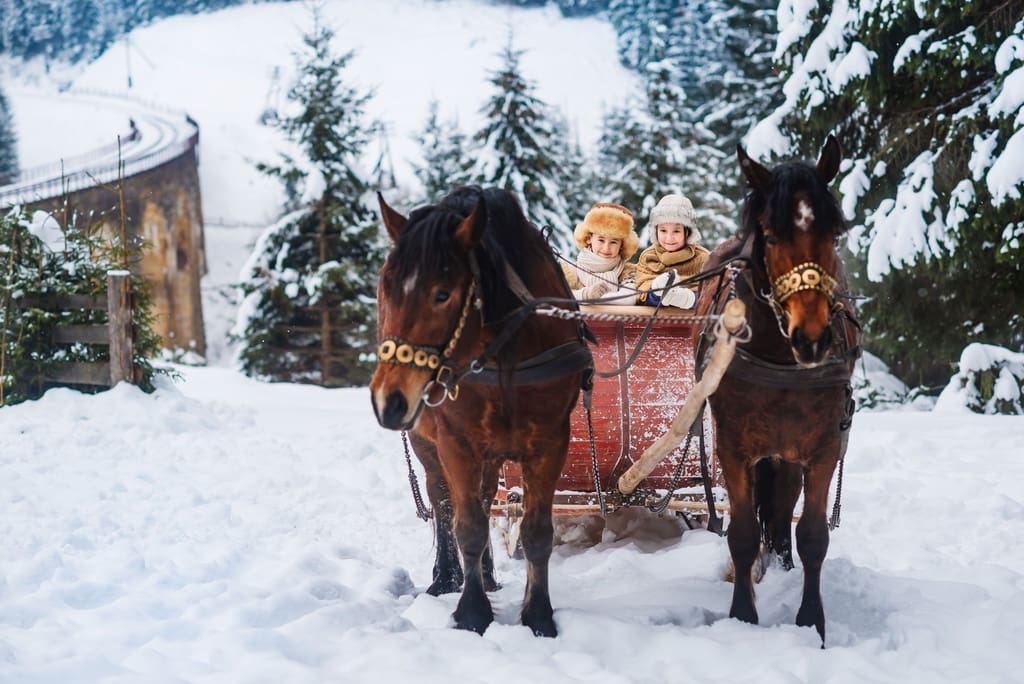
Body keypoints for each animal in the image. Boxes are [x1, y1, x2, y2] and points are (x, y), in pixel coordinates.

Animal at [372, 185, 589, 634]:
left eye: (442, 294)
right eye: (385, 287)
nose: (389, 399)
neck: (502, 355)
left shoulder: (550, 441)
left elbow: (536, 532)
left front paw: (538, 614)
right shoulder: (456, 443)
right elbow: (466, 524)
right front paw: (472, 612)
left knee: (485, 498)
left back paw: (486, 575)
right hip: (426, 442)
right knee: (442, 500)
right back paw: (446, 577)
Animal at [700, 135, 860, 647]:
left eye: (834, 234)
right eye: (770, 236)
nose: (810, 336)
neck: (781, 359)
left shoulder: (823, 446)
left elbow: (811, 534)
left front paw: (811, 621)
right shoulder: (733, 447)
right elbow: (742, 532)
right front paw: (742, 615)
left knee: (785, 502)